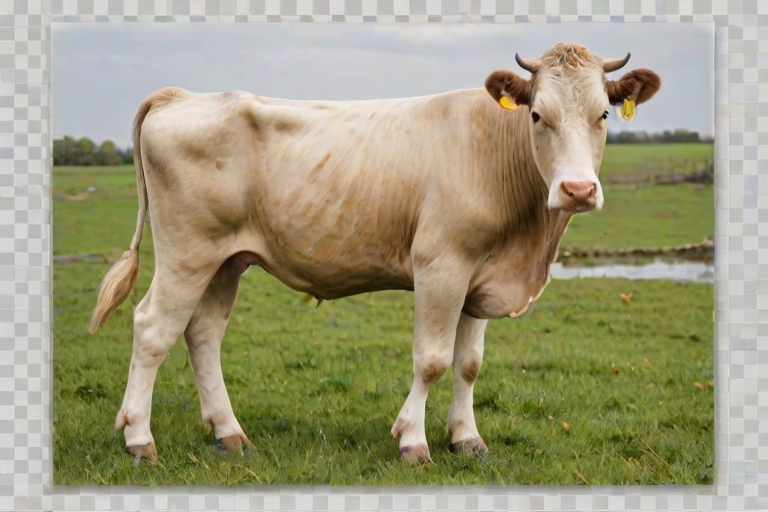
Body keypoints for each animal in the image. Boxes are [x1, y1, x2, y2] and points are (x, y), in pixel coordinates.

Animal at [89, 42, 660, 465]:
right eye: (538, 114)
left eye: (603, 113)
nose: (577, 190)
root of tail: (181, 95)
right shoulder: (441, 265)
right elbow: (432, 360)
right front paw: (414, 441)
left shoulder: (481, 277)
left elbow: (469, 364)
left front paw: (467, 439)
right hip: (187, 252)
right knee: (153, 328)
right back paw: (140, 441)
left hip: (226, 260)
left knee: (203, 333)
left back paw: (229, 434)